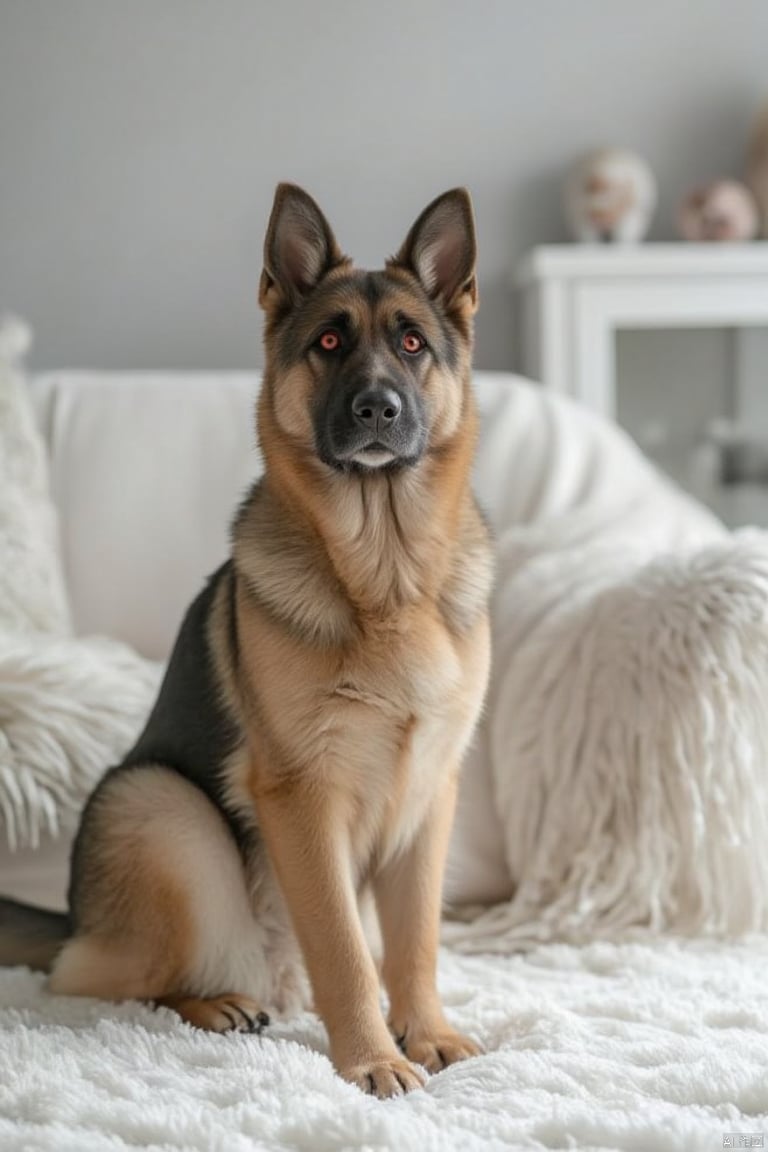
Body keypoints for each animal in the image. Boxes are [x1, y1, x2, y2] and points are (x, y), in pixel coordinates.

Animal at [0, 182, 492, 1096]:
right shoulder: (302, 798)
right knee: (113, 984)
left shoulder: (428, 799)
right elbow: (344, 948)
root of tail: (75, 922)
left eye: (412, 342)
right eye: (330, 341)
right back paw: (219, 1003)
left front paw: (427, 1033)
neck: (386, 577)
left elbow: (412, 943)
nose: (378, 408)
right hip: (165, 811)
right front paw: (373, 1058)